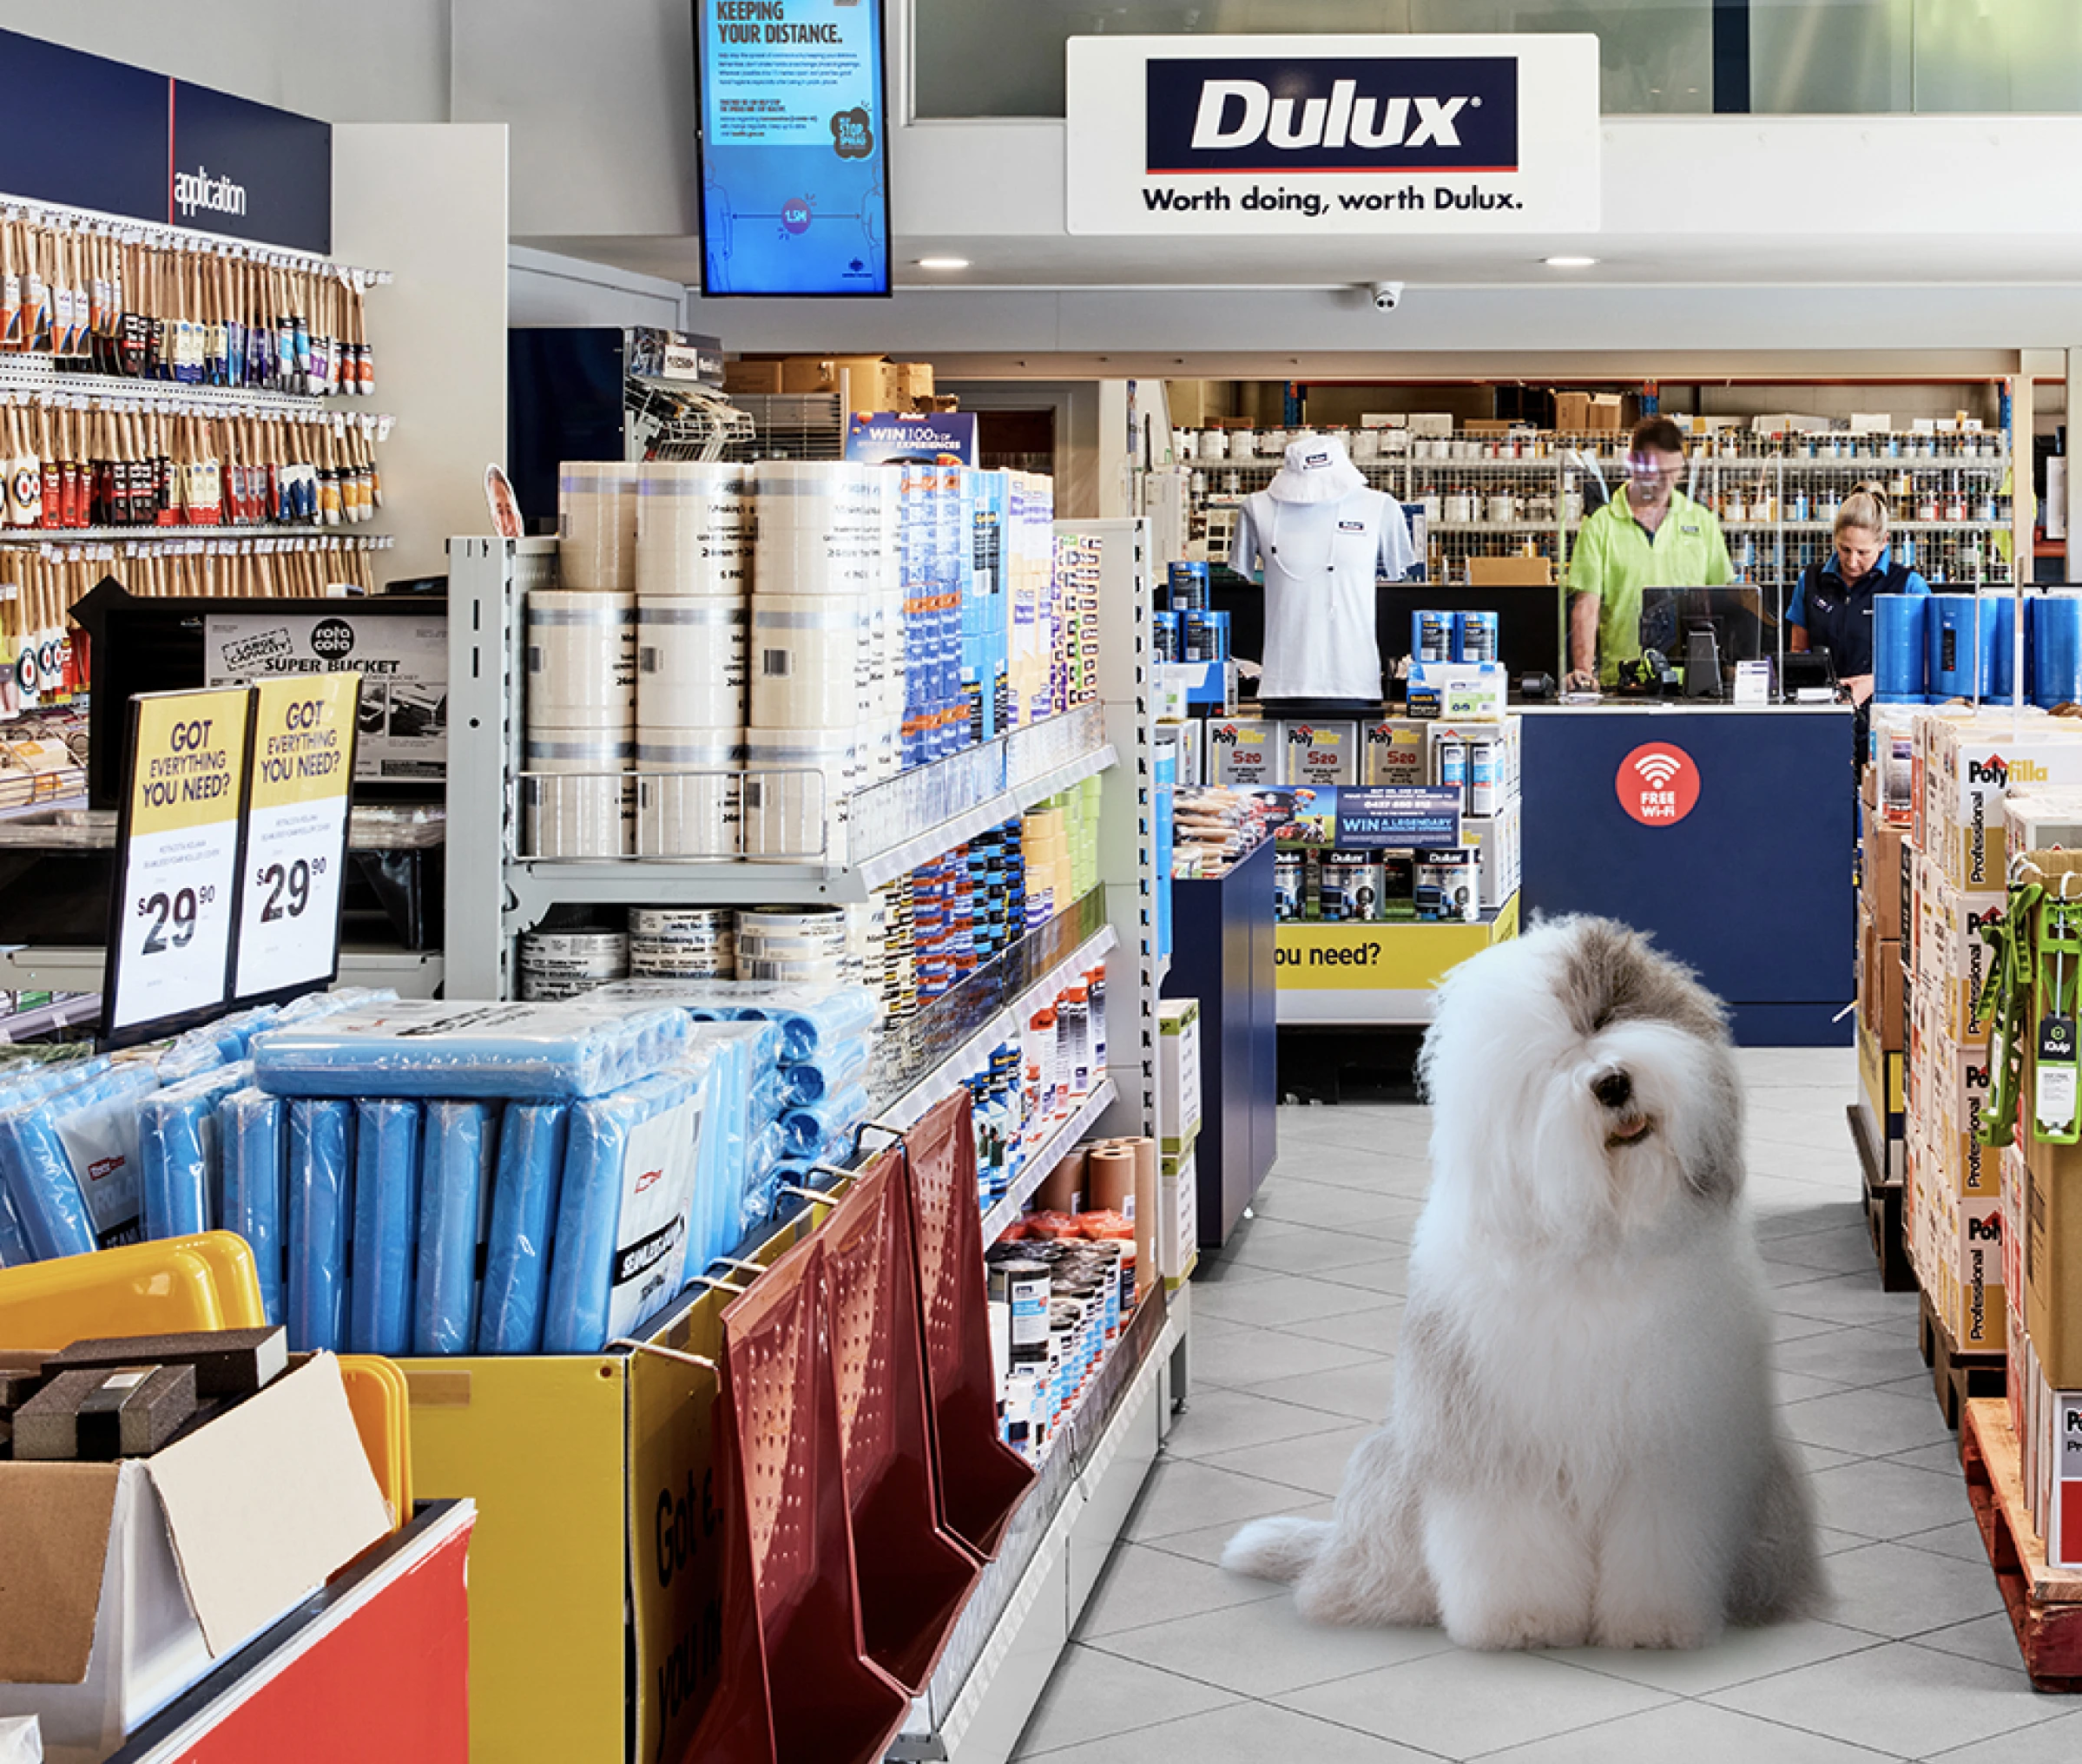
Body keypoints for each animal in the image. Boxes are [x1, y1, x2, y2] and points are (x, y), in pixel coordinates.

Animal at [1216, 916, 1823, 1649]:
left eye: (1605, 1017)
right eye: (1552, 1066)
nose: (1611, 1083)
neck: (1604, 1239)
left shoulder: (1670, 1444)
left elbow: (1661, 1538)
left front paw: (1653, 1624)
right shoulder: (1495, 1441)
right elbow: (1510, 1535)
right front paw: (1523, 1623)